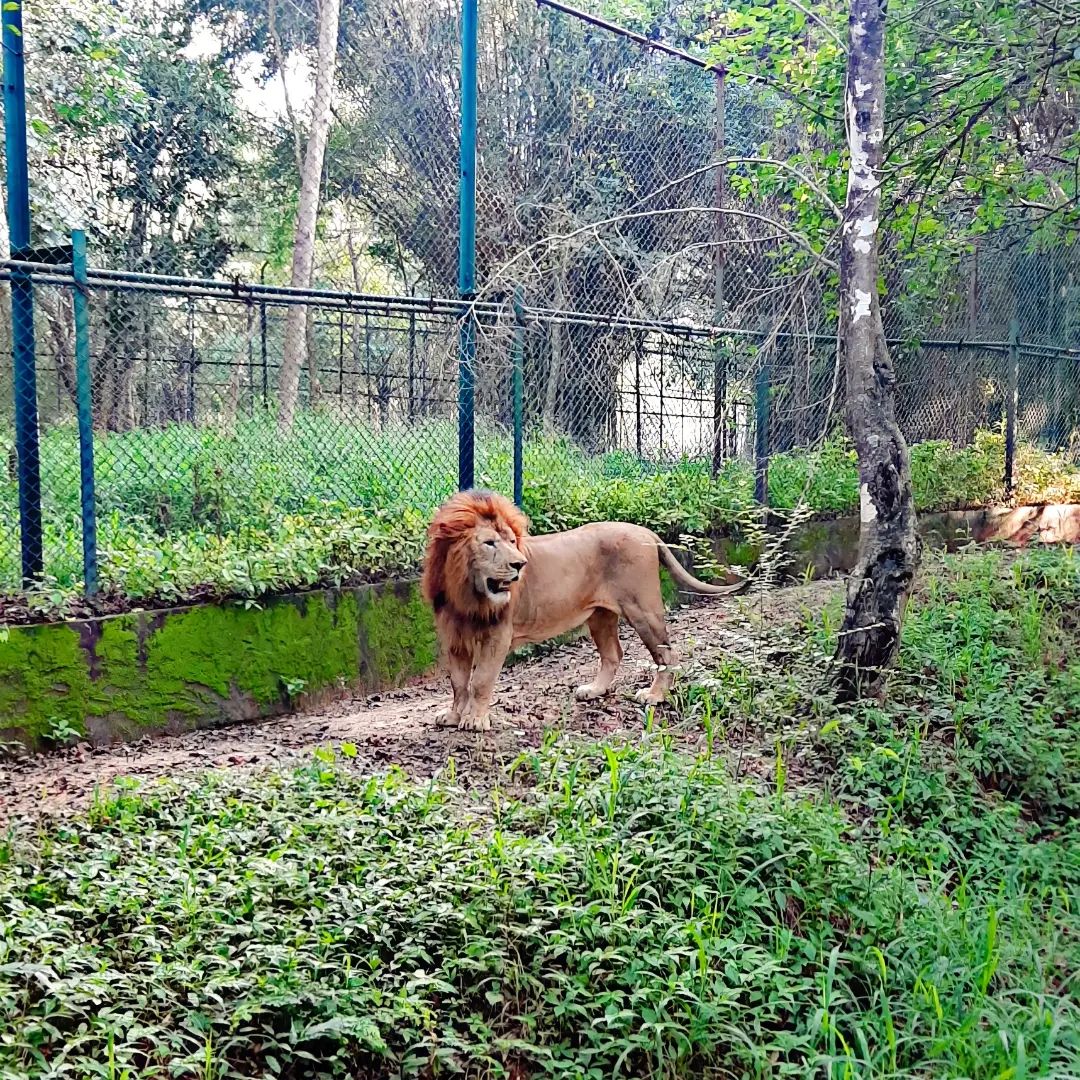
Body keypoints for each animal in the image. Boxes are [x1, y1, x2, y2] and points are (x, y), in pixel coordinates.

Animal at [416, 492, 747, 734]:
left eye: (512, 541)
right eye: (489, 543)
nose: (520, 564)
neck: (466, 591)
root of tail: (646, 531)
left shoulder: (498, 634)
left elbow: (481, 680)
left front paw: (475, 720)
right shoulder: (454, 638)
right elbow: (459, 683)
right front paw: (454, 715)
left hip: (642, 609)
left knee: (667, 654)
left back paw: (654, 696)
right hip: (600, 615)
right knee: (613, 654)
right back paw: (594, 690)